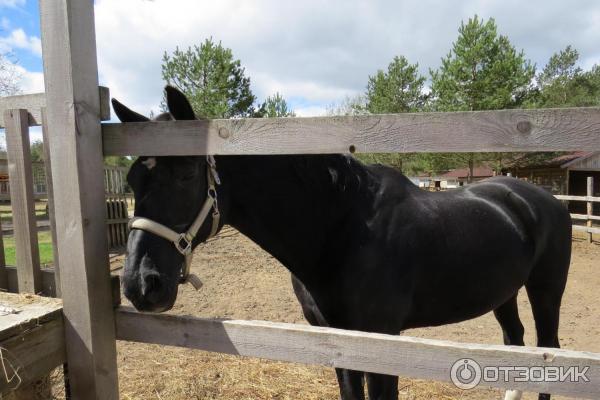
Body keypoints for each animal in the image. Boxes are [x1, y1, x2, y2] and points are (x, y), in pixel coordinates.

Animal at [116, 87, 572, 400]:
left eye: (186, 174)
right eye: (133, 180)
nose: (141, 284)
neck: (343, 230)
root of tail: (543, 199)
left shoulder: (382, 341)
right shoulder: (337, 341)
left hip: (546, 291)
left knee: (548, 350)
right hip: (504, 292)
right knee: (515, 341)